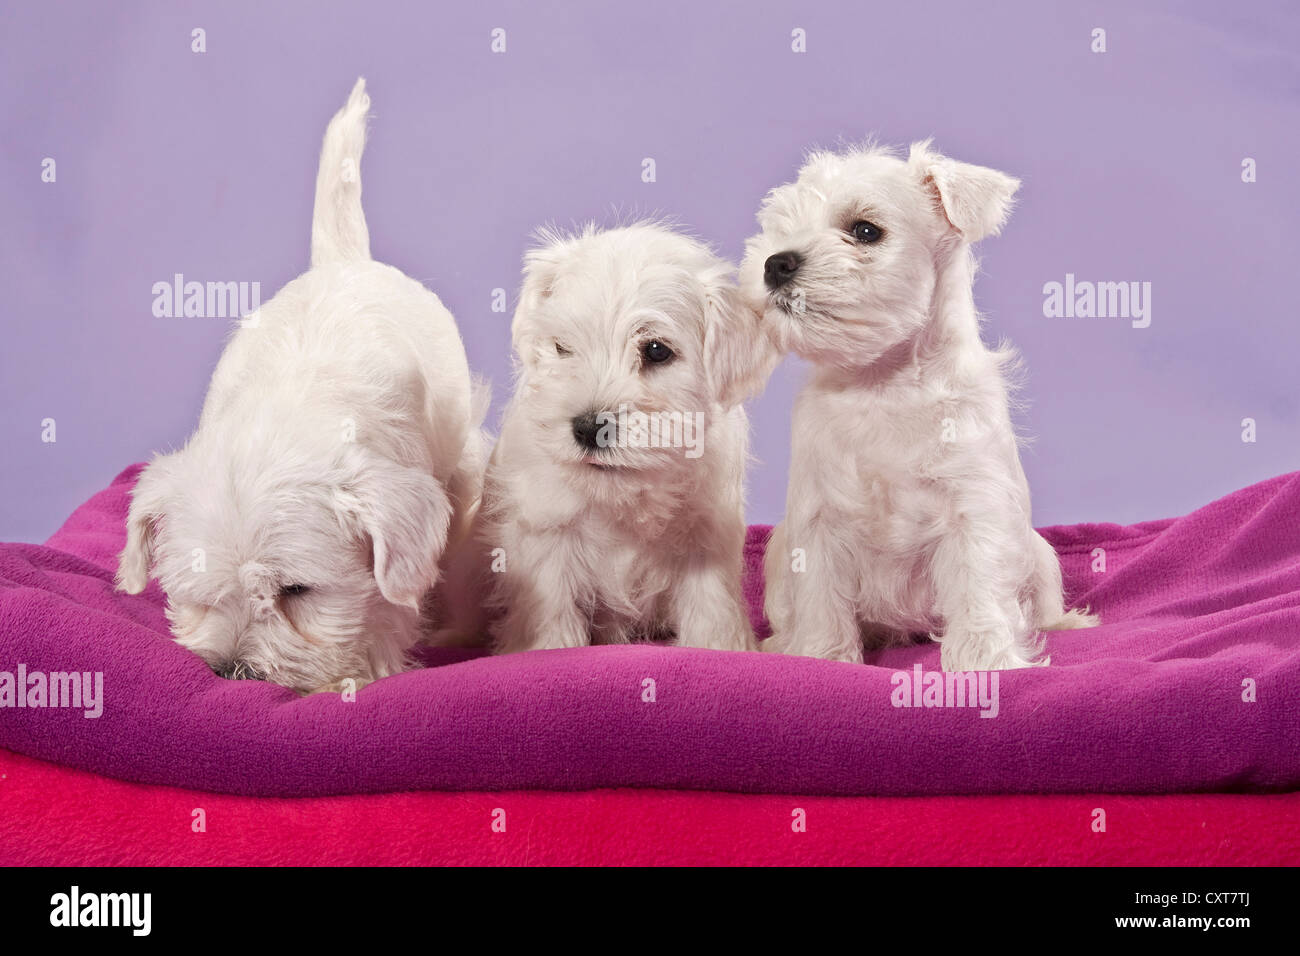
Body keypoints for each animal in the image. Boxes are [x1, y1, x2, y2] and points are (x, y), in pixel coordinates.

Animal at [115, 80, 483, 697]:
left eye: (297, 592)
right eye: (200, 595)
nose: (232, 672)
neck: (290, 401)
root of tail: (344, 262)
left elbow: (388, 602)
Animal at [441, 222, 774, 658]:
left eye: (656, 350)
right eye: (563, 347)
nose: (586, 428)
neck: (622, 495)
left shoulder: (705, 532)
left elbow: (711, 603)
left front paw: (720, 646)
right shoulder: (547, 530)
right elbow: (551, 602)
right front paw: (548, 647)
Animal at [743, 141, 1097, 671]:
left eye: (865, 230)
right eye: (781, 226)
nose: (775, 262)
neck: (882, 382)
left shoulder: (974, 505)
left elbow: (978, 588)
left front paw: (984, 658)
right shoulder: (817, 518)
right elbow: (821, 598)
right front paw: (824, 655)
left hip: (1041, 555)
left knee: (1043, 601)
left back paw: (1066, 622)